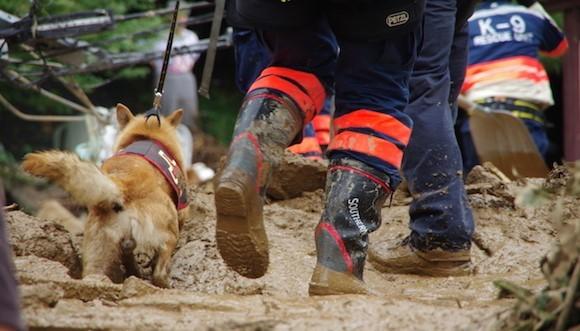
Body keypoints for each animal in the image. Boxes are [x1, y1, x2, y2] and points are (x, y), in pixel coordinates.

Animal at [22, 104, 190, 288]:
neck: (148, 135)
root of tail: (122, 185)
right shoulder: (181, 215)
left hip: (98, 248)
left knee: (94, 274)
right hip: (170, 233)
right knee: (159, 272)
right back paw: (164, 284)